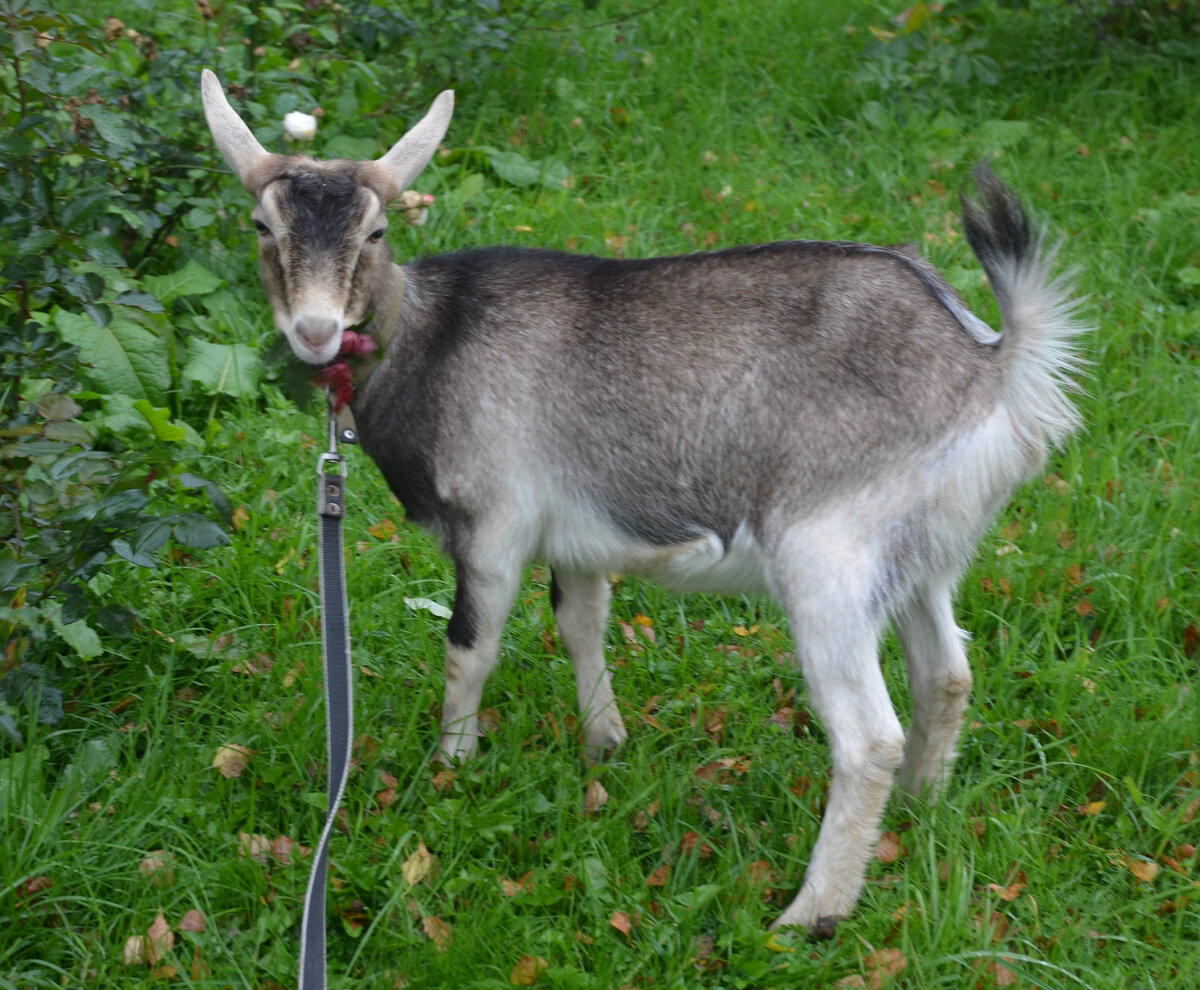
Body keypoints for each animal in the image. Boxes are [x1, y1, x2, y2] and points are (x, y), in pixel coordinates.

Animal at [204, 71, 1089, 936]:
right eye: (262, 225)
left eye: (377, 233)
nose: (316, 331)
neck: (432, 341)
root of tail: (993, 365)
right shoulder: (576, 537)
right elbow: (581, 623)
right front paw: (606, 745)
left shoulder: (493, 527)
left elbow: (470, 648)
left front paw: (452, 767)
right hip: (923, 555)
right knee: (947, 674)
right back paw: (917, 813)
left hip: (828, 554)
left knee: (869, 738)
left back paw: (810, 913)